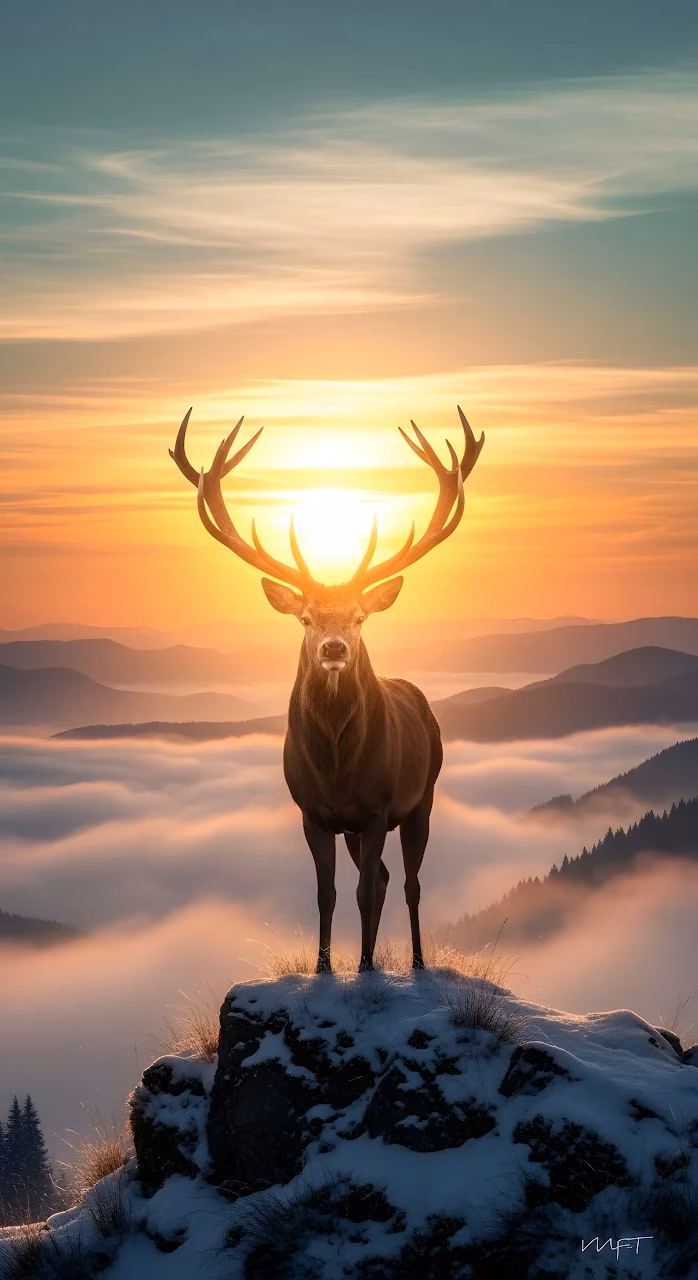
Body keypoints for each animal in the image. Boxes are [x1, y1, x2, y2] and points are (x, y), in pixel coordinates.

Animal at [171, 406, 484, 973]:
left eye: (360, 617)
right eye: (306, 618)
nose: (334, 648)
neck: (337, 771)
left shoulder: (378, 808)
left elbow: (362, 892)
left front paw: (363, 968)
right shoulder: (312, 812)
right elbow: (326, 893)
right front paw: (324, 968)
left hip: (422, 798)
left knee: (408, 883)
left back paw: (417, 961)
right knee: (383, 878)